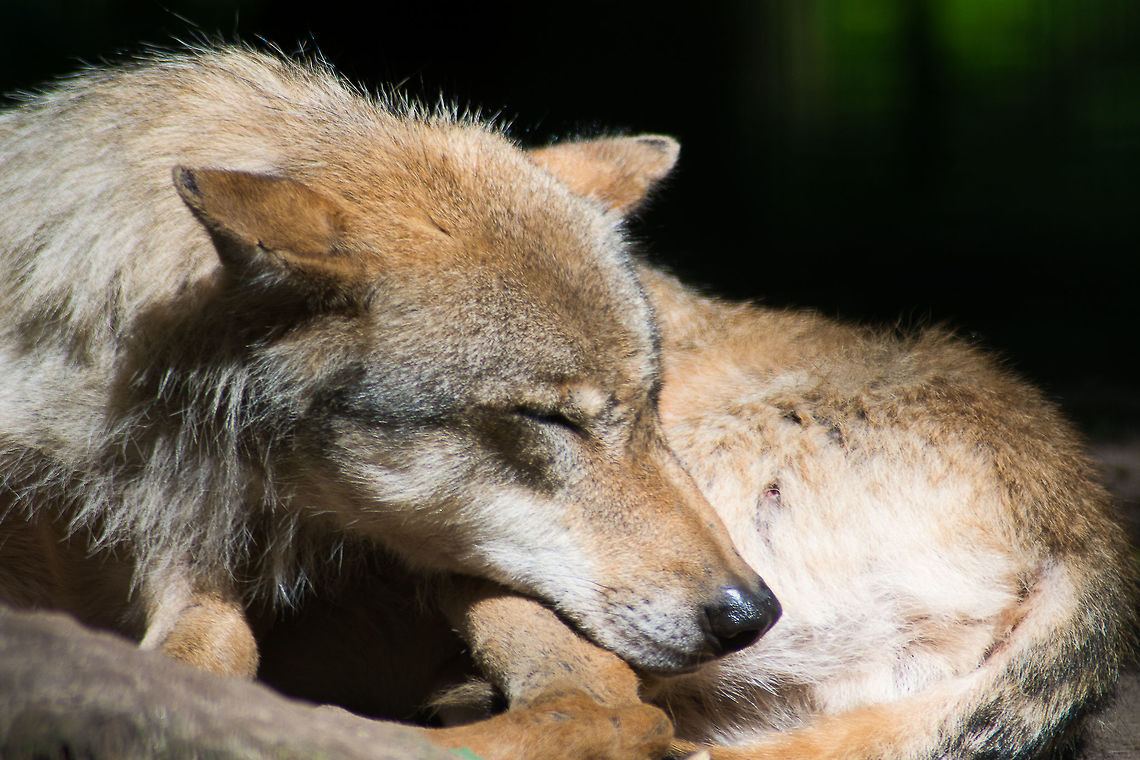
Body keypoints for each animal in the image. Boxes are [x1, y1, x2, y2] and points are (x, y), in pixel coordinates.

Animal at [0, 45, 780, 758]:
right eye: (547, 418)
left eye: (652, 403)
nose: (753, 614)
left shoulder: (192, 566)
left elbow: (212, 655)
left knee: (598, 704)